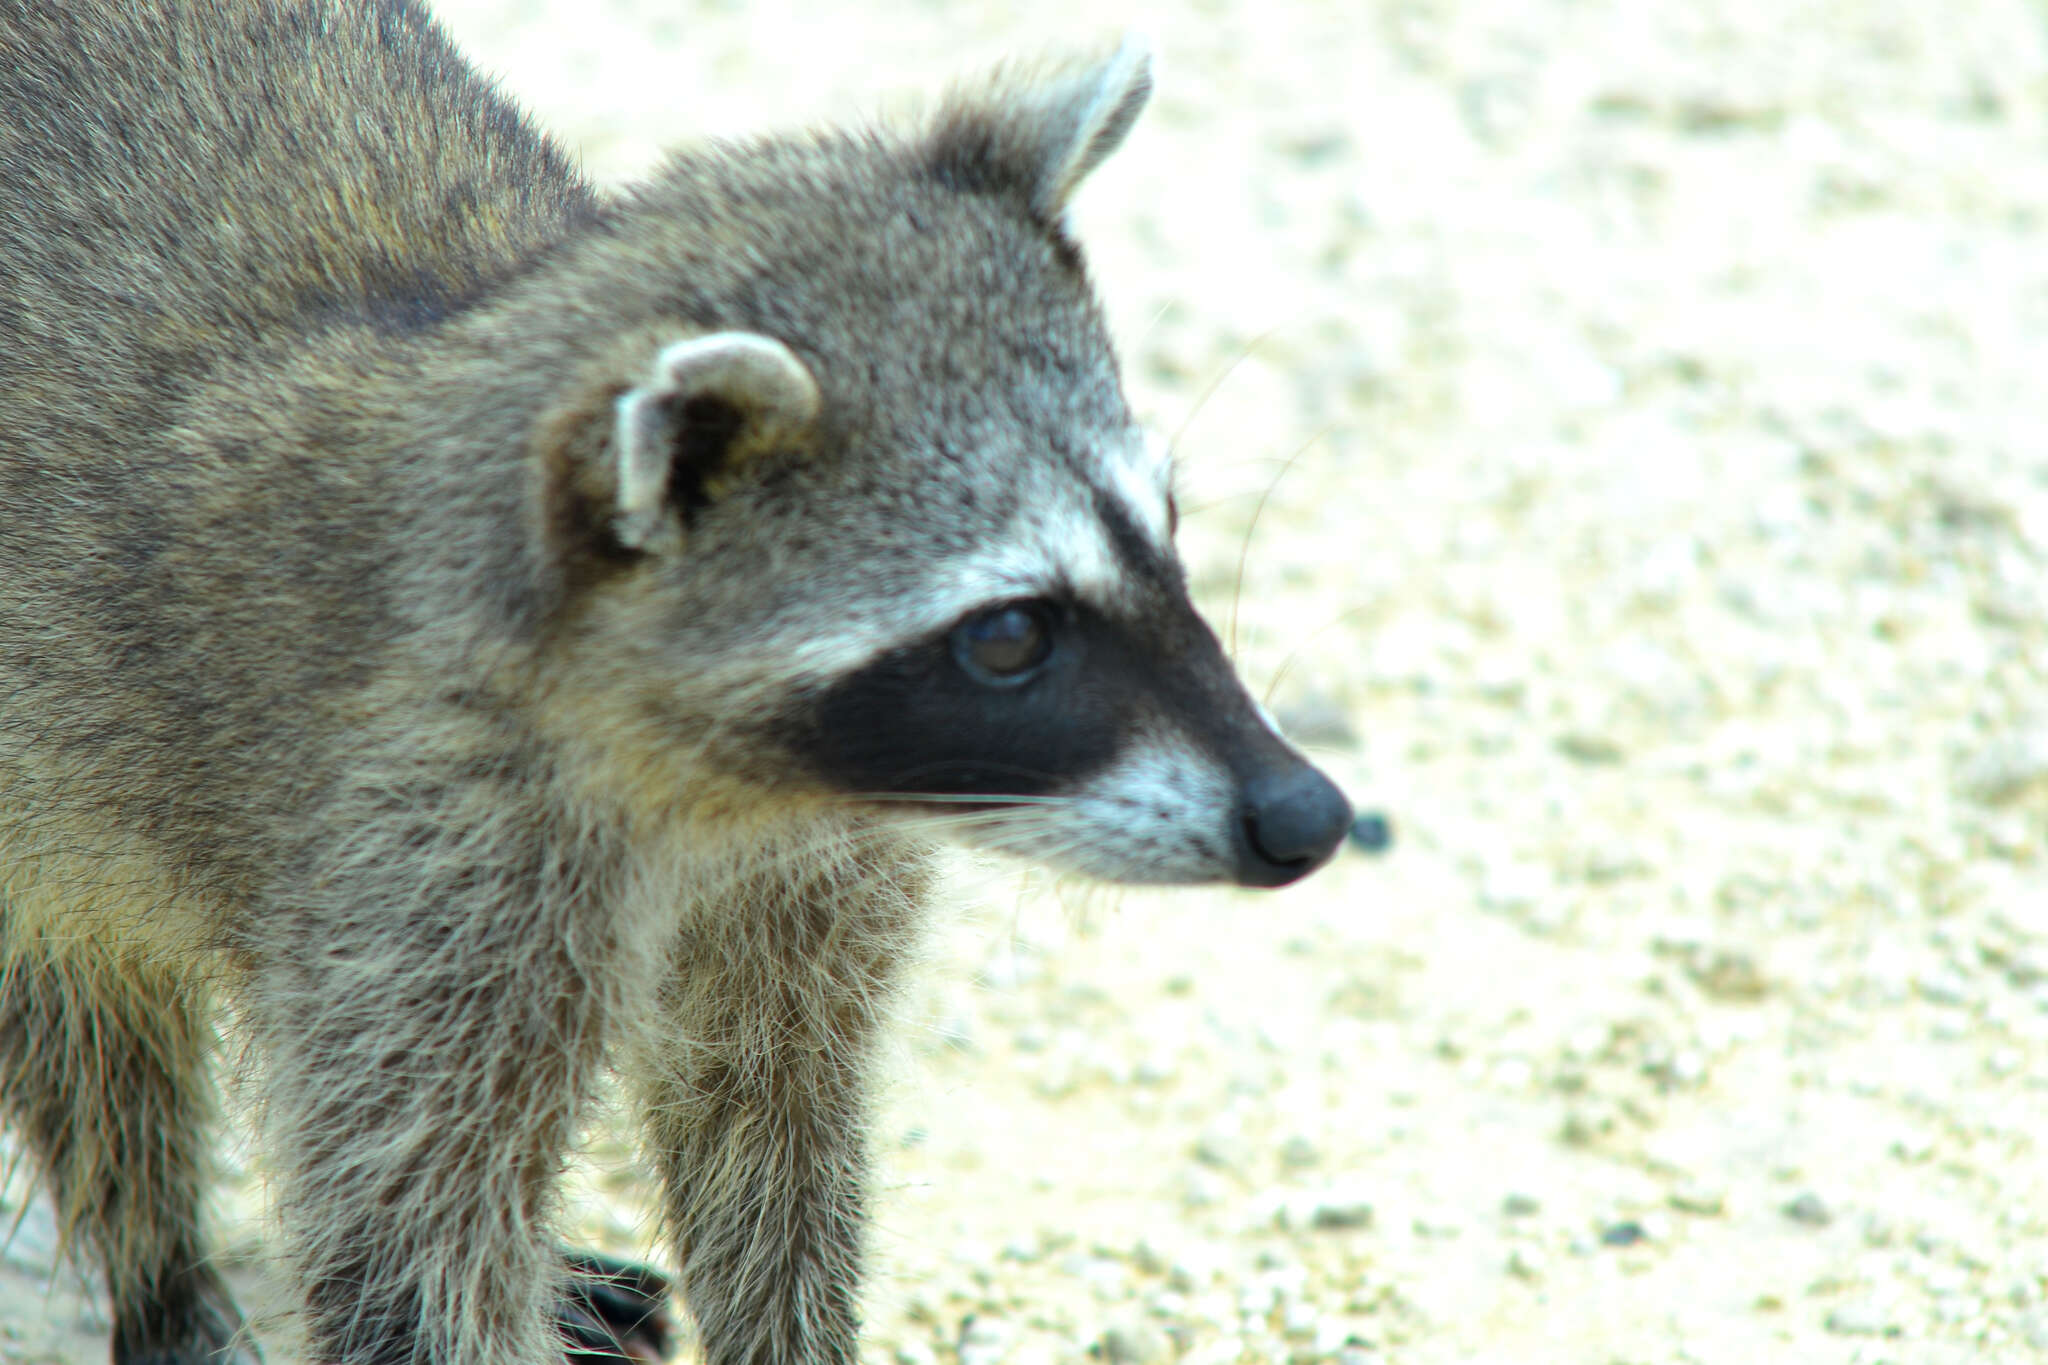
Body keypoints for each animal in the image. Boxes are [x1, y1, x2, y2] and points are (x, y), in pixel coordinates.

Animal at [0, 2, 1351, 1365]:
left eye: (1163, 531)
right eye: (1011, 635)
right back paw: (161, 1277)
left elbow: (773, 1132)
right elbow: (413, 1244)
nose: (1307, 814)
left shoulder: (801, 871)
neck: (733, 789)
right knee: (88, 1021)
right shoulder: (411, 867)